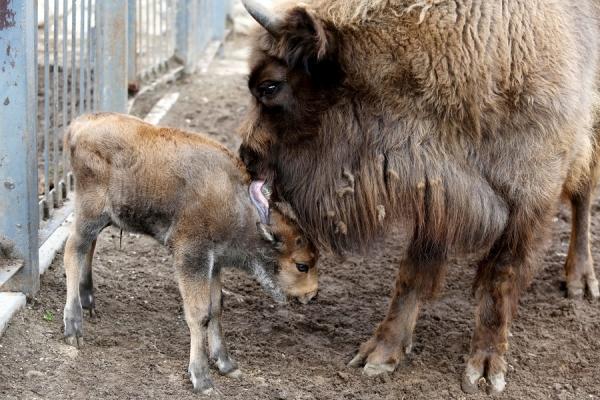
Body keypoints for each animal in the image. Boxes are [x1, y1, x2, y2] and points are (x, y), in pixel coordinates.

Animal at [61, 113, 318, 394]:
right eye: (302, 265)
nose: (312, 294)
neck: (239, 205)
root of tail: (80, 123)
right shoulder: (192, 257)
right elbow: (199, 313)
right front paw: (202, 378)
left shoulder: (214, 263)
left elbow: (216, 308)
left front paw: (227, 364)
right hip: (90, 213)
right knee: (73, 251)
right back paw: (74, 328)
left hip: (103, 218)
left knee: (88, 247)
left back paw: (88, 301)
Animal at [237, 0, 596, 394]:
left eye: (270, 86)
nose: (247, 155)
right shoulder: (437, 192)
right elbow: (413, 272)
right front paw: (380, 354)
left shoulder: (531, 194)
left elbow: (502, 275)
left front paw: (486, 369)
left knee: (583, 194)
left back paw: (580, 280)